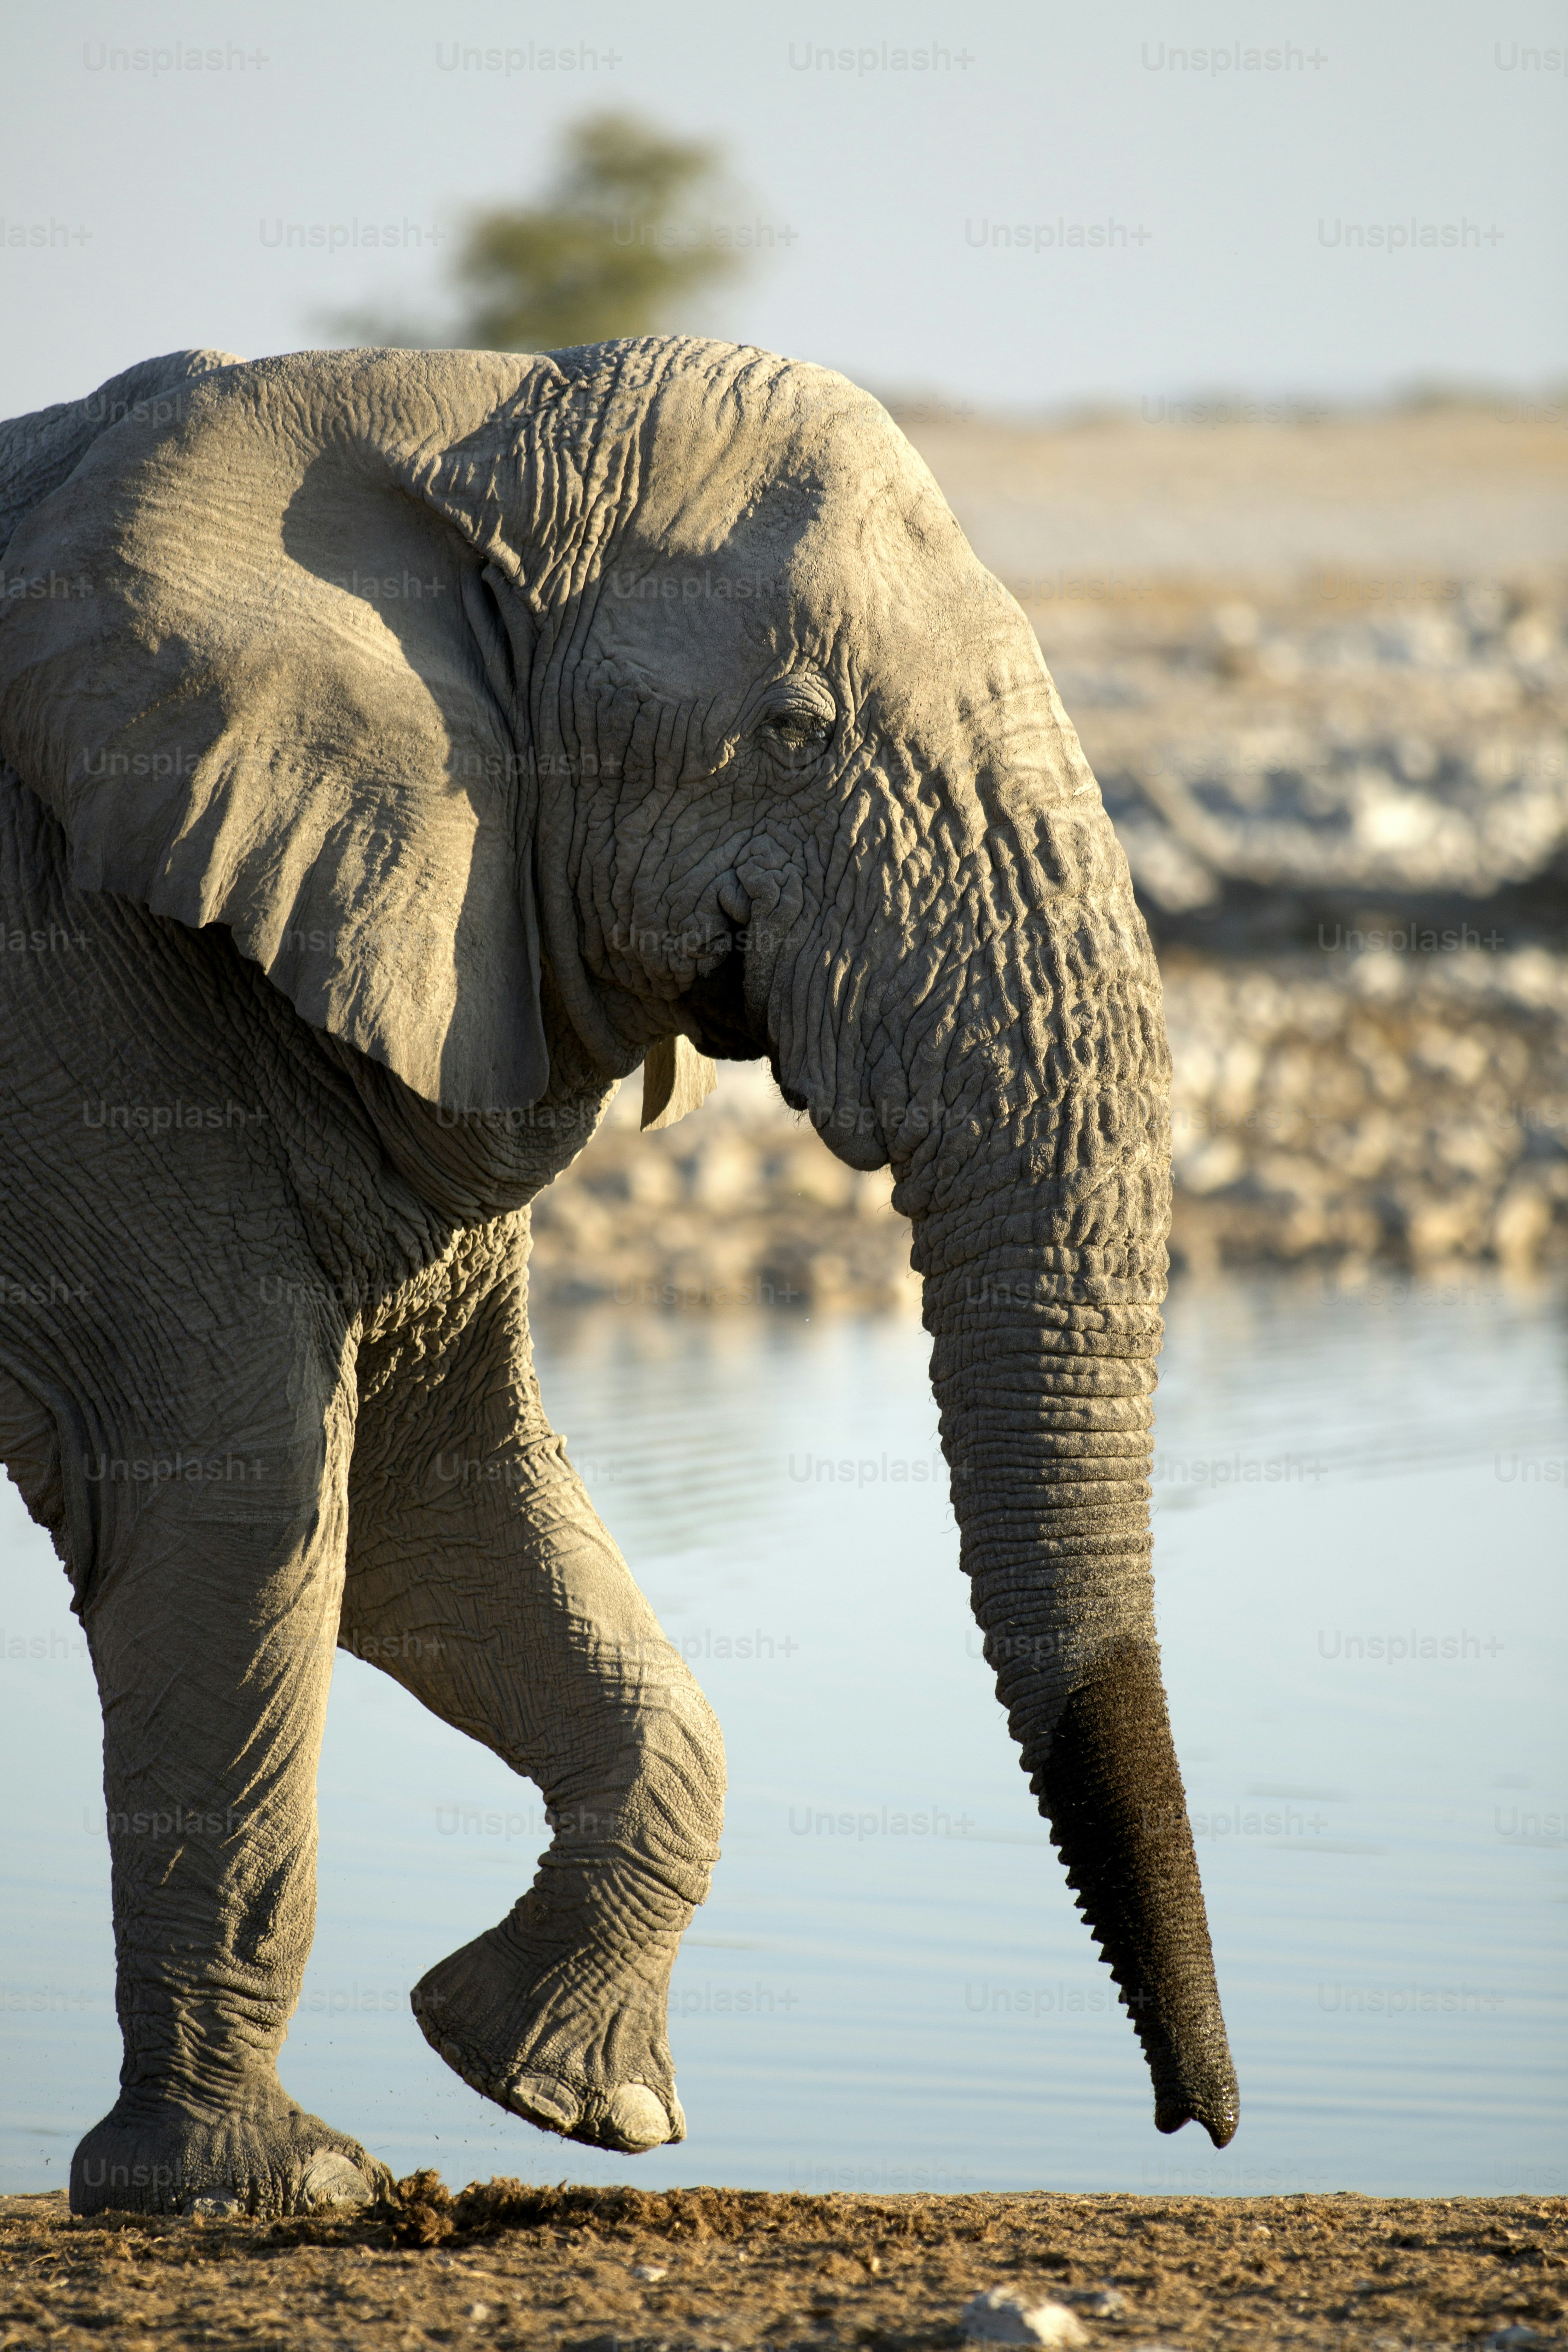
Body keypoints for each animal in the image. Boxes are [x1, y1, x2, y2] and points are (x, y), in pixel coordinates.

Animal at [0, 338, 1237, 2218]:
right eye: (792, 731)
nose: (1200, 2123)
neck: (455, 415)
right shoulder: (89, 1007)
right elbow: (243, 1501)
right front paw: (269, 2189)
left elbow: (432, 1496)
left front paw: (560, 2093)